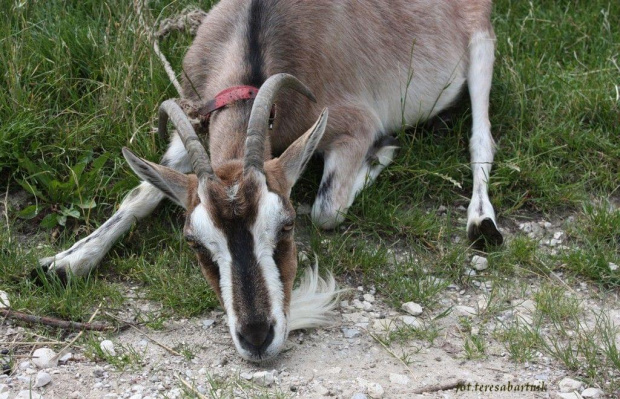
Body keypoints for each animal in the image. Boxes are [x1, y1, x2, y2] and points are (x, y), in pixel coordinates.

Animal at [38, 0, 504, 362]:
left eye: (286, 226)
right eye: (194, 242)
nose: (257, 336)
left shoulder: (353, 124)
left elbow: (327, 210)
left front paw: (380, 151)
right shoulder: (194, 122)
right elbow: (140, 193)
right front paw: (66, 261)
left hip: (482, 44)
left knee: (481, 137)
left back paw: (482, 223)